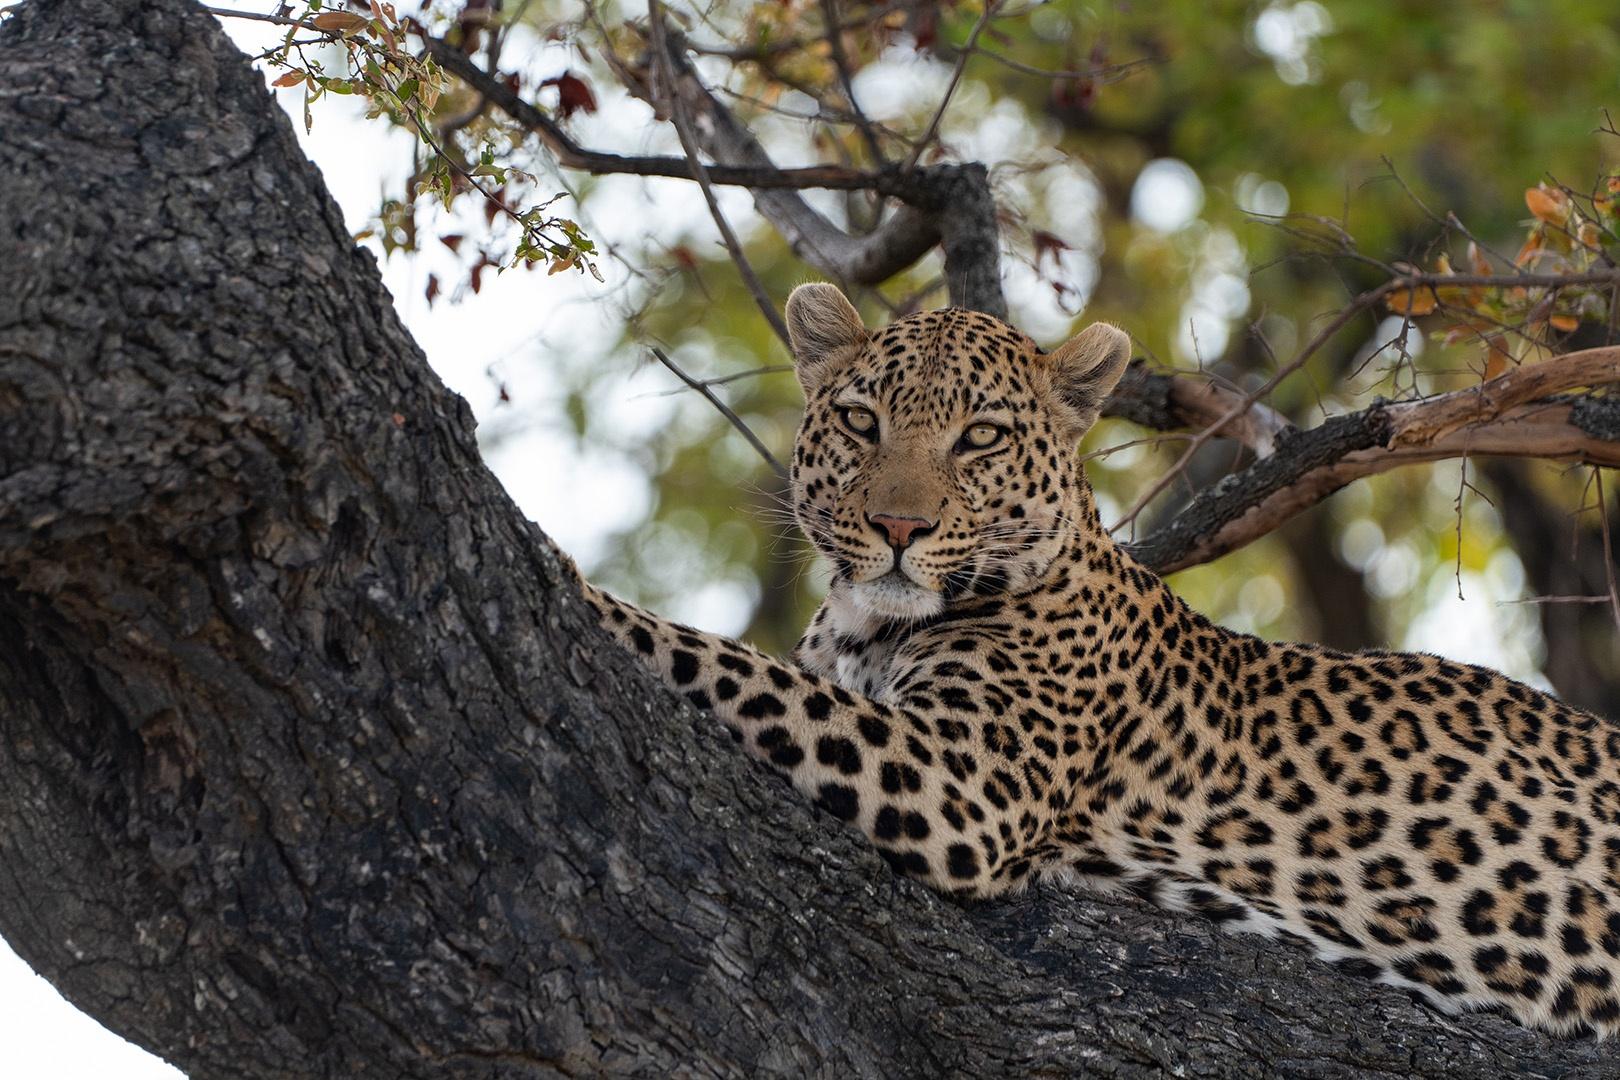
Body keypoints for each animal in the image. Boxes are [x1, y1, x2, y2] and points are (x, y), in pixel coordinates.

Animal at [576, 283, 1620, 1036]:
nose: (899, 528)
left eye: (981, 437)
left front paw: (578, 586)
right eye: (863, 423)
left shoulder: (966, 778)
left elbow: (729, 664)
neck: (865, 625)